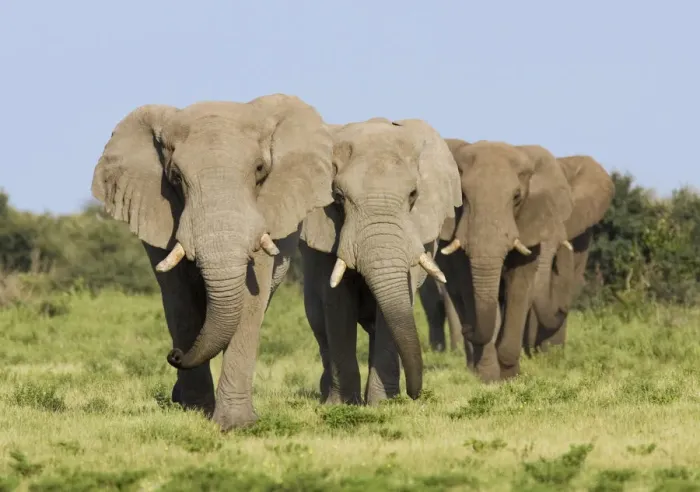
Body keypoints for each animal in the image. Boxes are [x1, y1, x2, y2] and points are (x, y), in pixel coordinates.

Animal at [90, 94, 335, 431]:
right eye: (175, 177)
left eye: (260, 169)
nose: (174, 355)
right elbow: (179, 299)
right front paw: (195, 410)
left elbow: (250, 301)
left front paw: (235, 424)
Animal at [299, 117, 462, 405]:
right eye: (338, 198)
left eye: (413, 194)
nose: (415, 394)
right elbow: (337, 304)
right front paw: (343, 405)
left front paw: (383, 403)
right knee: (318, 321)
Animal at [438, 139, 573, 382]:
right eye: (462, 196)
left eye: (517, 197)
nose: (468, 329)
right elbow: (469, 287)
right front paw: (488, 377)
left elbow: (518, 288)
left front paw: (511, 375)